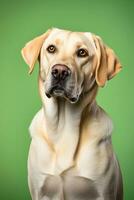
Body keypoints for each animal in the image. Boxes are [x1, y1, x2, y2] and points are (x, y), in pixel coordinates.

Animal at [21, 28, 123, 200]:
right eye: (51, 48)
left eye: (82, 52)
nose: (60, 71)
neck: (63, 128)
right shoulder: (40, 190)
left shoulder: (103, 192)